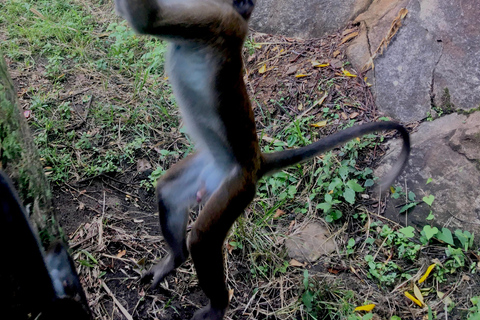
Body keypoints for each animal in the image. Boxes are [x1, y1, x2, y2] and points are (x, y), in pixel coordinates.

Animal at [113, 1, 408, 318]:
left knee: (203, 240)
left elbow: (147, 20)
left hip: (237, 187)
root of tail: (255, 162)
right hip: (210, 170)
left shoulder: (216, 17)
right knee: (169, 192)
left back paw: (218, 305)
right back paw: (176, 257)